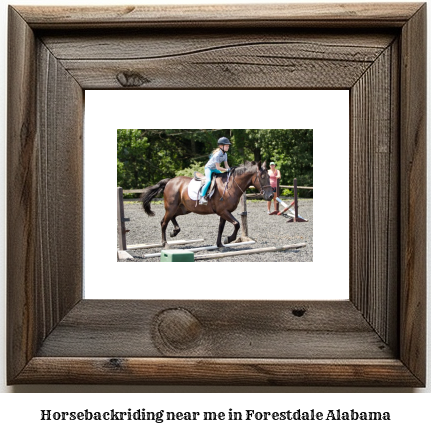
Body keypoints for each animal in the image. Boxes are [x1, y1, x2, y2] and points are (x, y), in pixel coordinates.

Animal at [141, 160, 274, 246]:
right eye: (262, 177)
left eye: (269, 176)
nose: (271, 195)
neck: (230, 186)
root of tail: (169, 181)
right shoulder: (223, 211)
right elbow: (236, 224)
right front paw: (228, 239)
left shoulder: (224, 212)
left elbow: (221, 228)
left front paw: (220, 244)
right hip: (171, 207)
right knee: (163, 222)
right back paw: (164, 242)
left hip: (183, 209)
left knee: (172, 218)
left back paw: (174, 232)